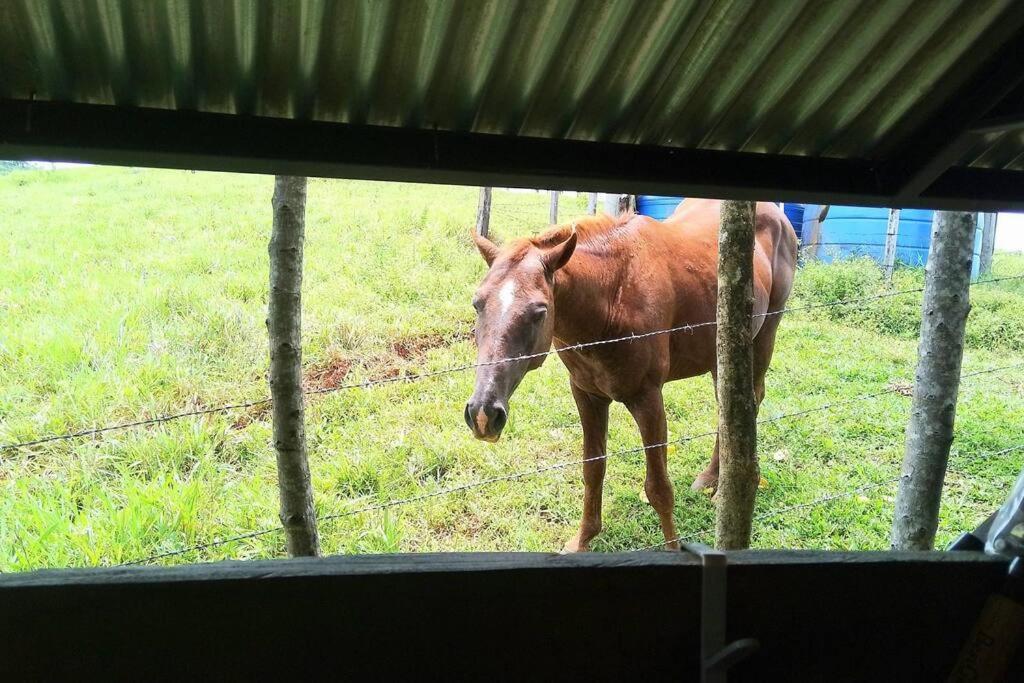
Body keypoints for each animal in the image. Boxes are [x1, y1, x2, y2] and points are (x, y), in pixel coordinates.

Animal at [466, 197, 798, 548]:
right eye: (477, 303)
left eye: (540, 311)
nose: (484, 414)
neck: (612, 298)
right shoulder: (587, 394)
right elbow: (592, 468)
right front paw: (583, 538)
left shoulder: (647, 399)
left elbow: (658, 489)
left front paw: (673, 547)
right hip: (720, 354)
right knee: (727, 409)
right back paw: (711, 478)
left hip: (763, 337)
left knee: (750, 402)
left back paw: (724, 489)